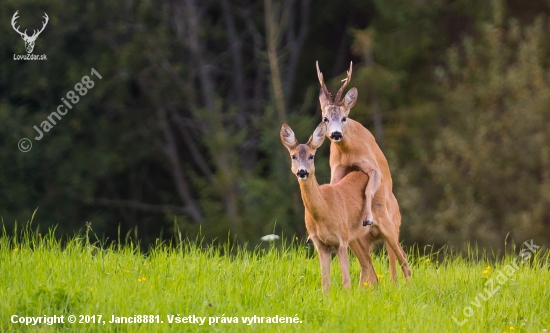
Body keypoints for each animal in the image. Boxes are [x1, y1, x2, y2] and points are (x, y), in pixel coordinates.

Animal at [282, 122, 382, 290]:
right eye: (293, 156)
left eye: (311, 156)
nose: (302, 172)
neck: (324, 212)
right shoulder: (320, 244)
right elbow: (325, 283)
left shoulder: (341, 239)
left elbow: (346, 281)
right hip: (356, 237)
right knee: (367, 263)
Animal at [316, 60, 412, 280]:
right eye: (325, 118)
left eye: (344, 118)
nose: (336, 134)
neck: (348, 152)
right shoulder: (336, 170)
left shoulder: (372, 167)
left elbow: (368, 189)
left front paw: (367, 217)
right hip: (358, 240)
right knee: (370, 267)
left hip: (392, 227)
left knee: (400, 261)